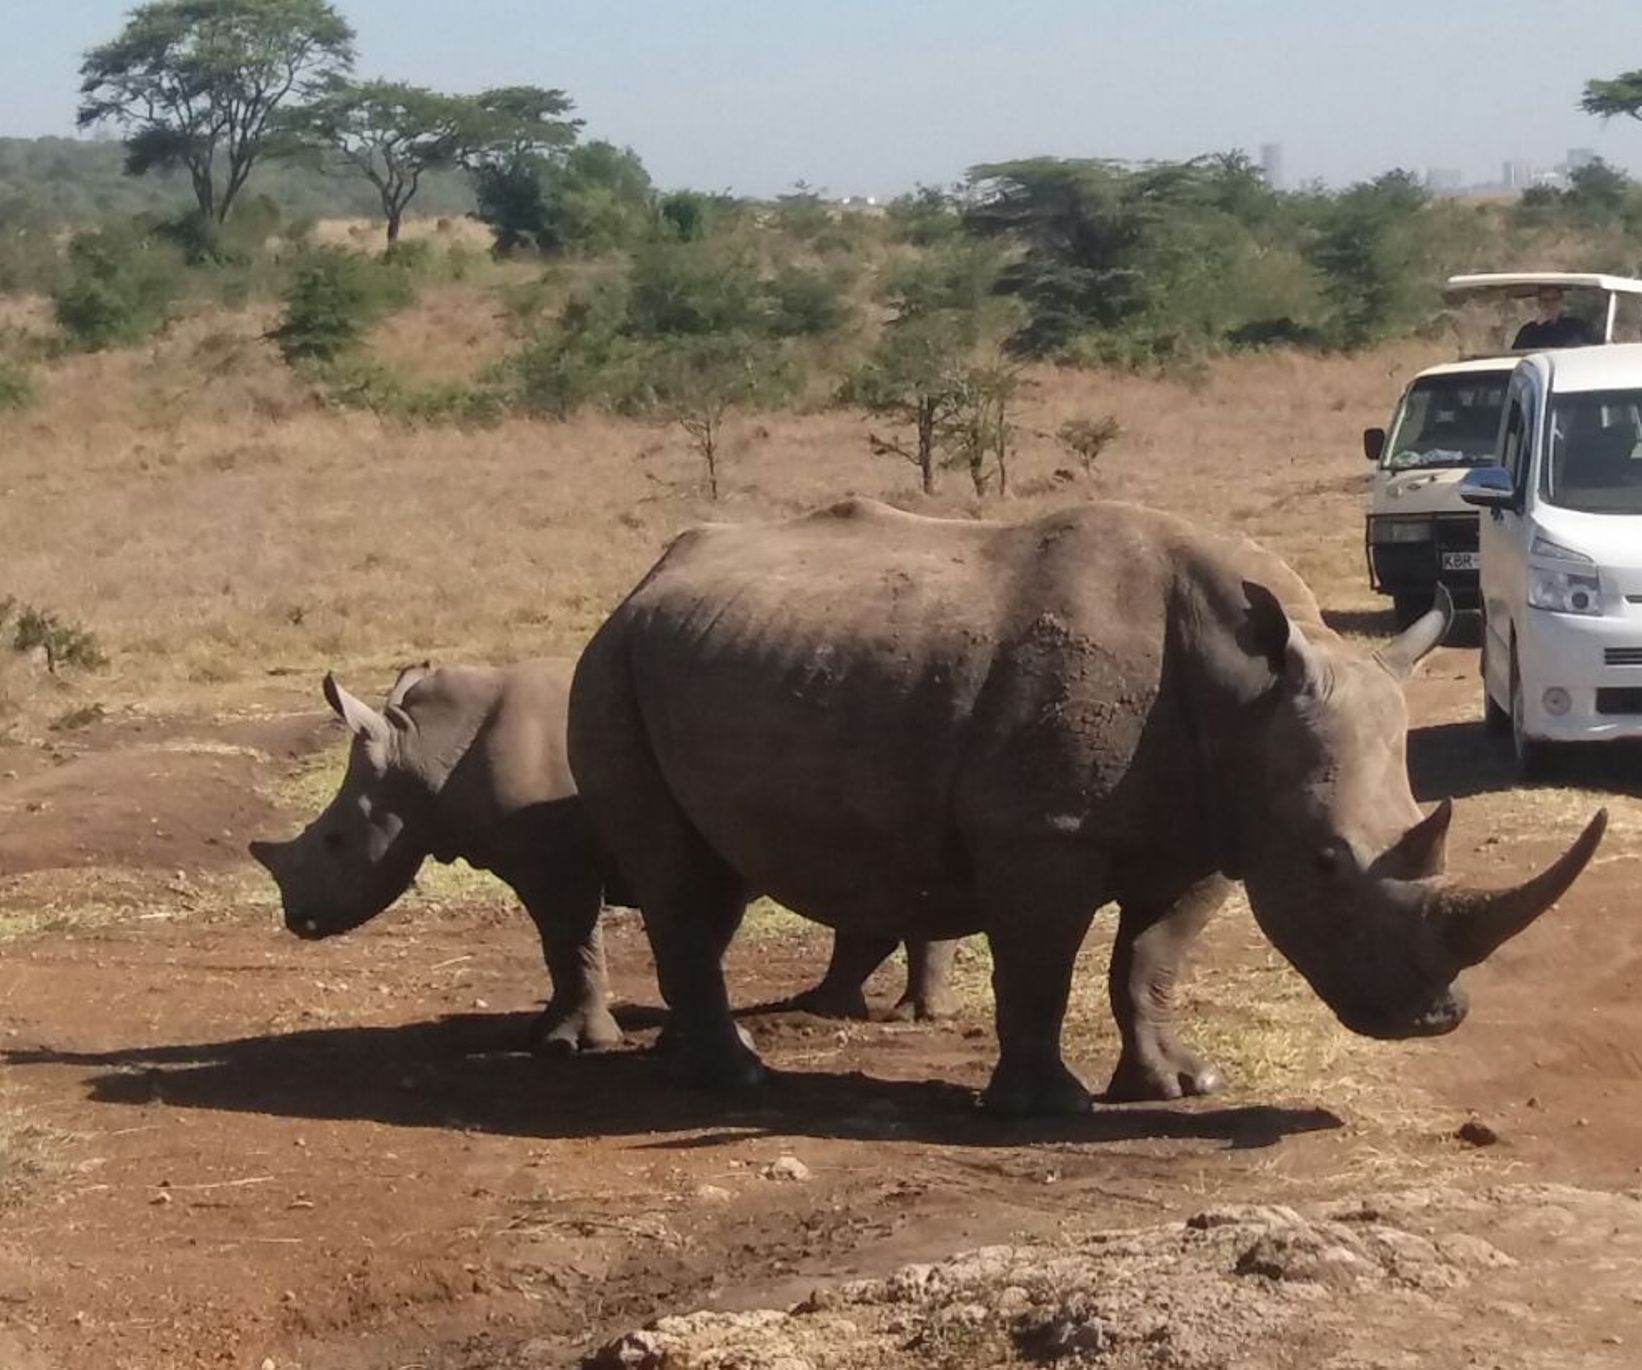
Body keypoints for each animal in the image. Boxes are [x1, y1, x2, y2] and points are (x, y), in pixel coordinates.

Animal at [248, 658, 957, 1054]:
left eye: (335, 842)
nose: (297, 921)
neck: (426, 750)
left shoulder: (553, 858)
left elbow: (569, 940)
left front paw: (571, 1045)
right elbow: (572, 947)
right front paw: (547, 1036)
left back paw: (907, 1017)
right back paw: (826, 1007)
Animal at [566, 497, 1607, 1115]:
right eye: (1324, 863)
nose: (1435, 1020)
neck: (1246, 689)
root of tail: (643, 582)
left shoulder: (1212, 826)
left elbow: (1148, 963)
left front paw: (1179, 1085)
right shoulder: (1041, 833)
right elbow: (1039, 968)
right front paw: (1046, 1107)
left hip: (702, 650)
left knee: (709, 880)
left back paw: (684, 1066)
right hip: (609, 661)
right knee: (677, 877)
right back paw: (737, 1077)